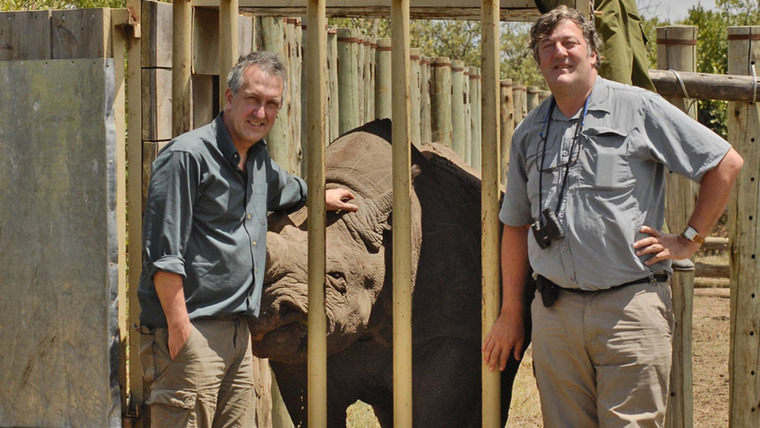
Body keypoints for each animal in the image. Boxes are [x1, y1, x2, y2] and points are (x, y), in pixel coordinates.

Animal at [252, 118, 532, 426]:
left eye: (337, 277)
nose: (273, 311)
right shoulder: (297, 353)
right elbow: (311, 406)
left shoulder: (451, 338)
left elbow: (438, 409)